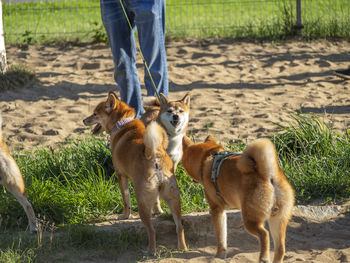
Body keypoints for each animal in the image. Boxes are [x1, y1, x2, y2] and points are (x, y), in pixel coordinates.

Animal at [83, 92, 187, 256]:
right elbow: (155, 202)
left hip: (142, 203)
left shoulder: (121, 176)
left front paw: (125, 216)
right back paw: (182, 248)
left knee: (152, 230)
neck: (122, 124)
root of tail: (155, 154)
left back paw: (150, 252)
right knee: (179, 226)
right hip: (174, 199)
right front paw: (158, 210)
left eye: (94, 113)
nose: (84, 120)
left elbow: (126, 200)